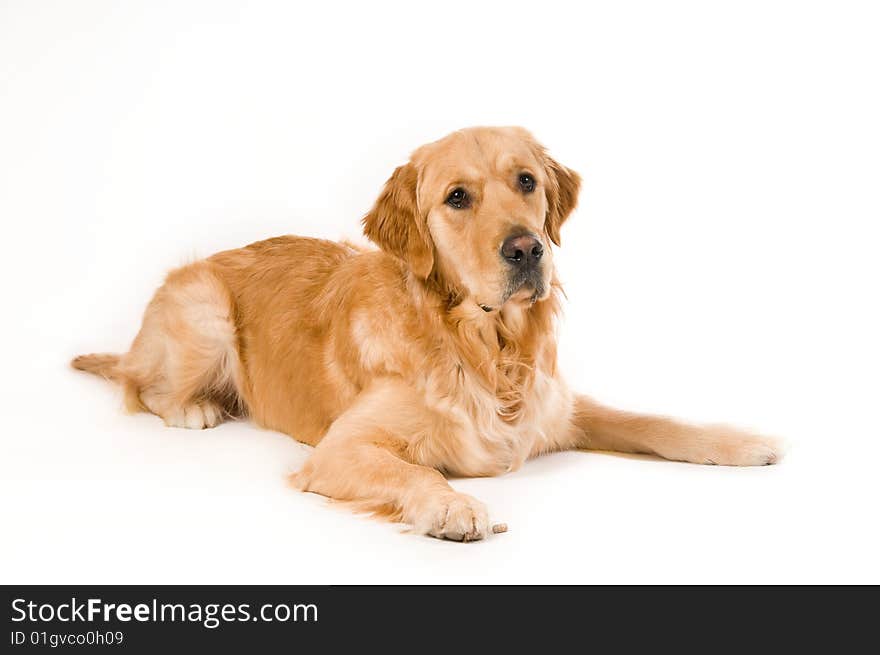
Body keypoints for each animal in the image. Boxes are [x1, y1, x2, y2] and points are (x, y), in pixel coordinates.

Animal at [70, 127, 784, 540]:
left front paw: (741, 441)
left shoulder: (561, 407)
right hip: (206, 309)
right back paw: (194, 407)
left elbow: (654, 422)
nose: (528, 250)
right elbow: (414, 472)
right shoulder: (339, 449)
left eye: (527, 181)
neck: (486, 347)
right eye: (457, 197)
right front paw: (451, 507)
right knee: (140, 385)